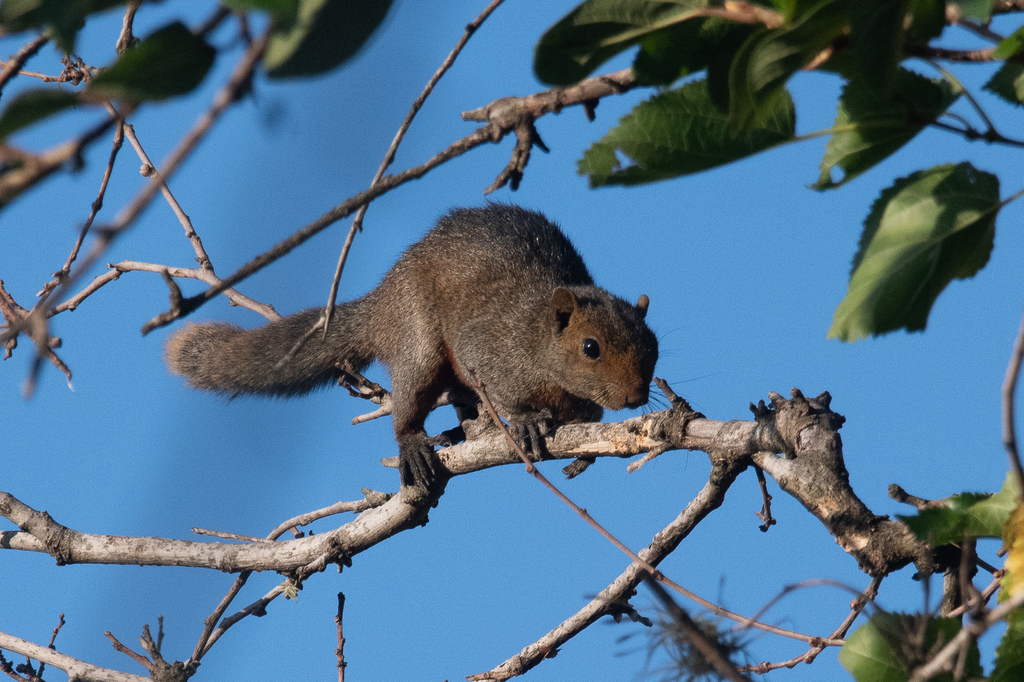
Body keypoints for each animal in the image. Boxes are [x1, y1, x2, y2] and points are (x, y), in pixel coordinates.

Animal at [159, 201, 655, 493]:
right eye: (590, 347)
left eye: (652, 348)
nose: (636, 396)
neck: (535, 337)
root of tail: (384, 300)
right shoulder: (487, 345)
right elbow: (499, 385)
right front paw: (528, 419)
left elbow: (588, 423)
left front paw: (586, 450)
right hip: (418, 342)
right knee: (412, 400)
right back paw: (415, 442)